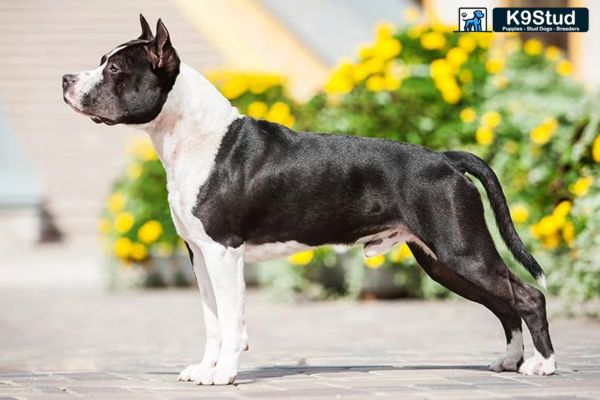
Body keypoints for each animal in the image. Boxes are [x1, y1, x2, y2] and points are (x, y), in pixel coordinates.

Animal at [63, 15, 556, 384]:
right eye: (102, 62)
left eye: (113, 70)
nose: (66, 78)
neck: (190, 134)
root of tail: (447, 159)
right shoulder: (199, 255)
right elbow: (212, 318)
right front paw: (205, 369)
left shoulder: (223, 252)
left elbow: (231, 318)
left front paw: (223, 374)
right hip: (442, 261)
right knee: (505, 303)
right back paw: (509, 361)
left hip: (463, 251)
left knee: (527, 296)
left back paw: (544, 365)